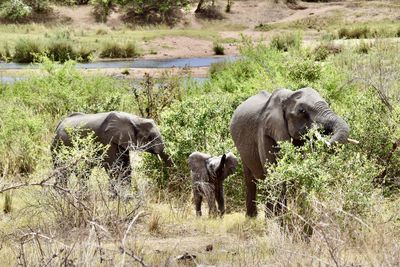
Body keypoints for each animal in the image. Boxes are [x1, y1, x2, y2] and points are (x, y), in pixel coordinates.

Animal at [230, 88, 348, 218]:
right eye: (302, 111)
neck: (287, 97)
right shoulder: (265, 131)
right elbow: (275, 174)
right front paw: (277, 219)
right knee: (251, 180)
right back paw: (252, 217)